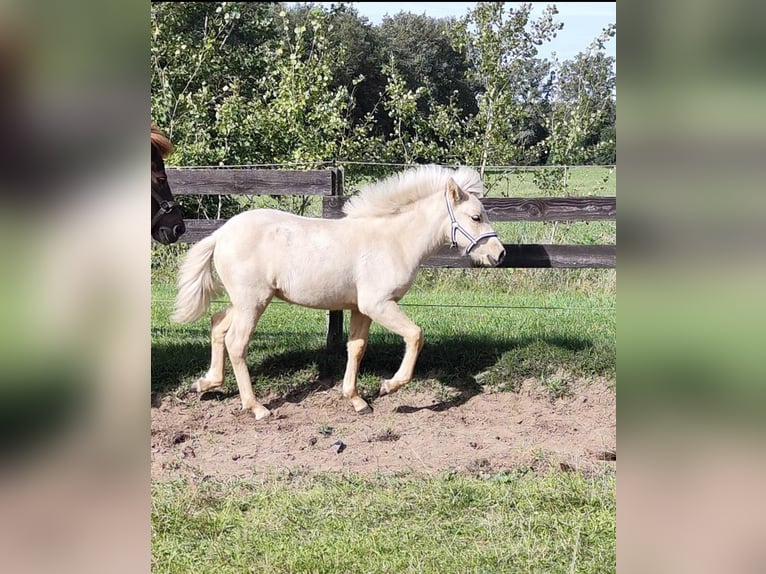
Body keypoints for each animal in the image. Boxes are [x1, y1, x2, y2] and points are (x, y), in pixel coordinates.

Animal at [175, 164, 510, 420]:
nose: (500, 254)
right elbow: (415, 335)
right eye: (476, 217)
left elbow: (356, 348)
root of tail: (220, 234)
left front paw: (357, 400)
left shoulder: (361, 308)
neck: (393, 240)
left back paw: (205, 383)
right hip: (252, 302)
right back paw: (256, 407)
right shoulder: (379, 304)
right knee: (237, 343)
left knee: (217, 324)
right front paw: (388, 386)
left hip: (245, 301)